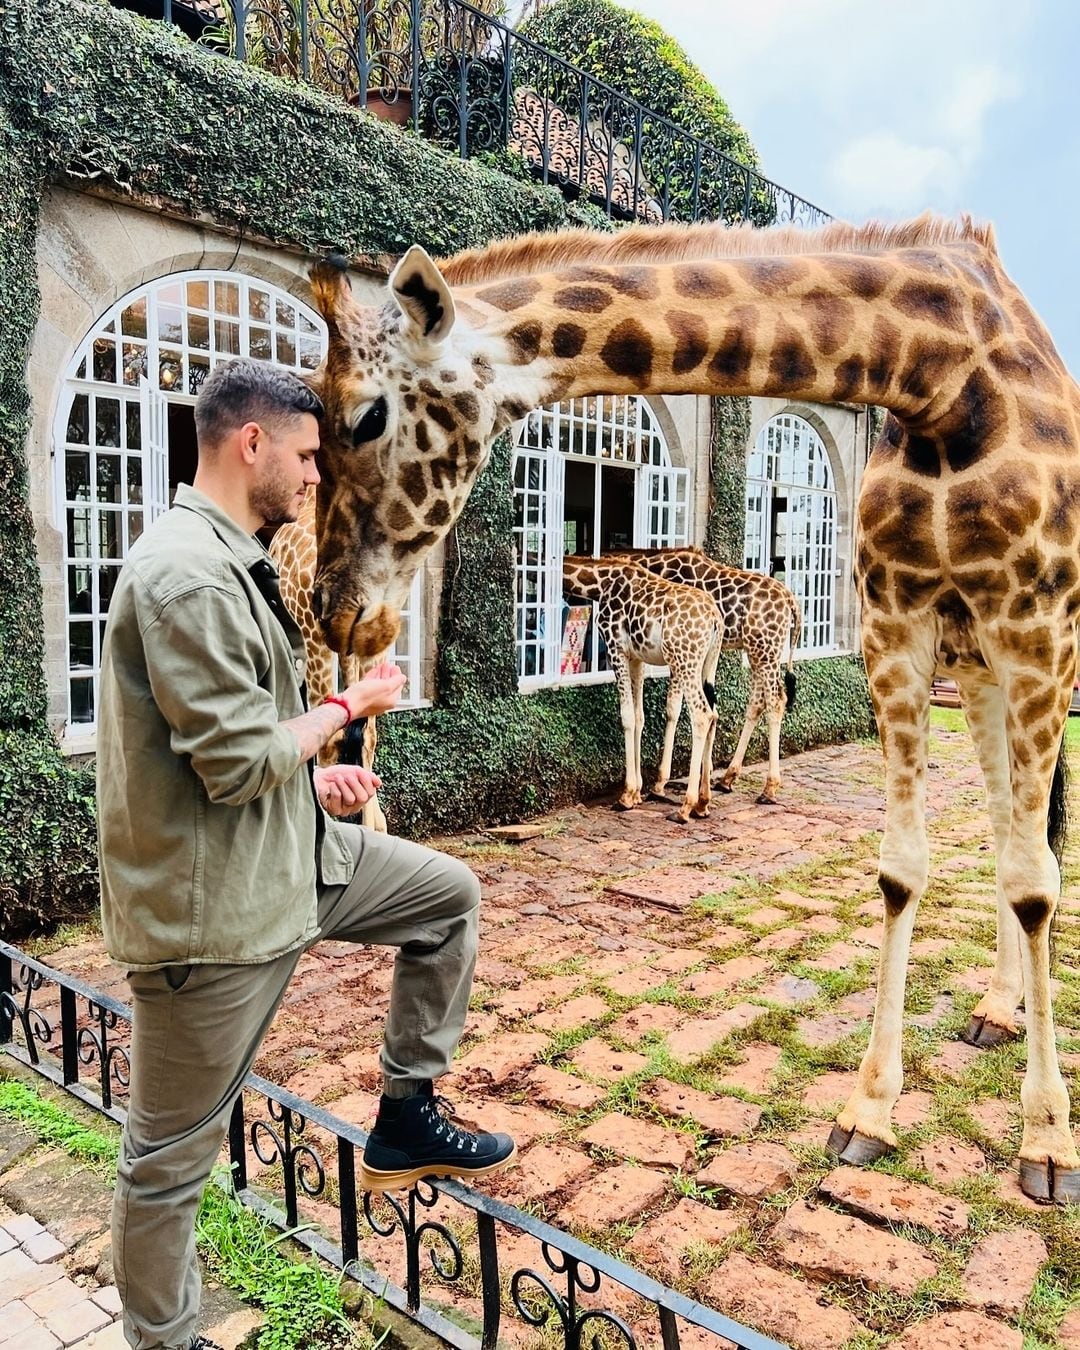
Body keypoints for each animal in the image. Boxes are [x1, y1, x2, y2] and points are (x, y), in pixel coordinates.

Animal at [561, 550, 723, 820]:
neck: (601, 584)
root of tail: (715, 620)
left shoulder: (616, 648)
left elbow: (627, 716)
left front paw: (626, 795)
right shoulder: (636, 657)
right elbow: (639, 717)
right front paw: (637, 792)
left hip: (685, 660)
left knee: (701, 713)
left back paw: (686, 806)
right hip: (708, 663)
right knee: (714, 713)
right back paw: (703, 803)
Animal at [615, 545, 799, 799]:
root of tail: (792, 603)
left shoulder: (679, 650)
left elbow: (673, 708)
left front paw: (660, 782)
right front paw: (706, 772)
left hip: (765, 651)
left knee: (775, 700)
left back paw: (769, 787)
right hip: (758, 652)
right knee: (757, 702)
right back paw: (728, 778)